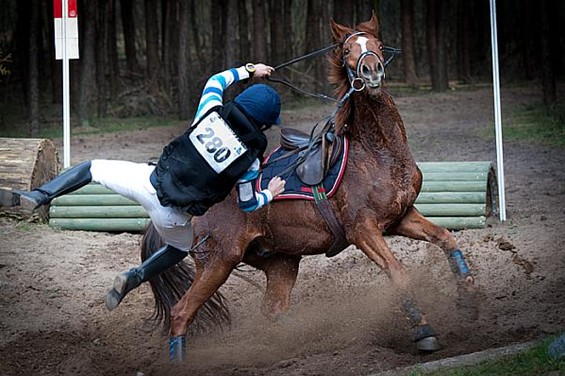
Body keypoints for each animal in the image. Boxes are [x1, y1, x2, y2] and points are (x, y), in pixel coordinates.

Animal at [140, 13, 476, 362]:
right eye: (347, 51)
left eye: (379, 45)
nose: (371, 71)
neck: (377, 152)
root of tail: (195, 209)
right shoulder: (363, 230)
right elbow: (398, 272)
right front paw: (424, 331)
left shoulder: (402, 217)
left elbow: (446, 239)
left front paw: (468, 300)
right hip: (219, 261)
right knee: (182, 312)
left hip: (281, 262)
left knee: (272, 309)